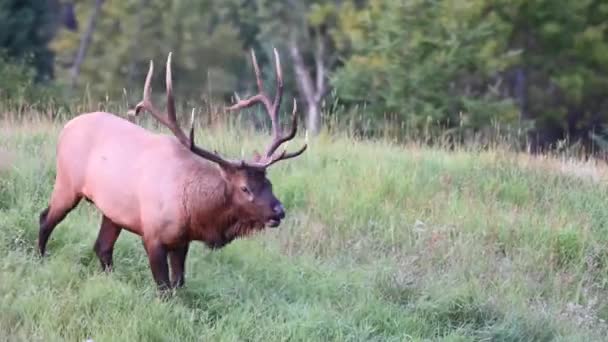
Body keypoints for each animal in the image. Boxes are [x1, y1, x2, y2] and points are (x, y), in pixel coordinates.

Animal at [38, 49, 306, 292]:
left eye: (269, 183)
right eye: (245, 188)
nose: (279, 211)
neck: (194, 210)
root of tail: (66, 127)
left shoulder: (181, 241)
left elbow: (179, 283)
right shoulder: (152, 235)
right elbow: (164, 287)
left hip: (112, 210)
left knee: (102, 247)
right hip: (67, 183)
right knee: (46, 219)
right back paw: (40, 258)